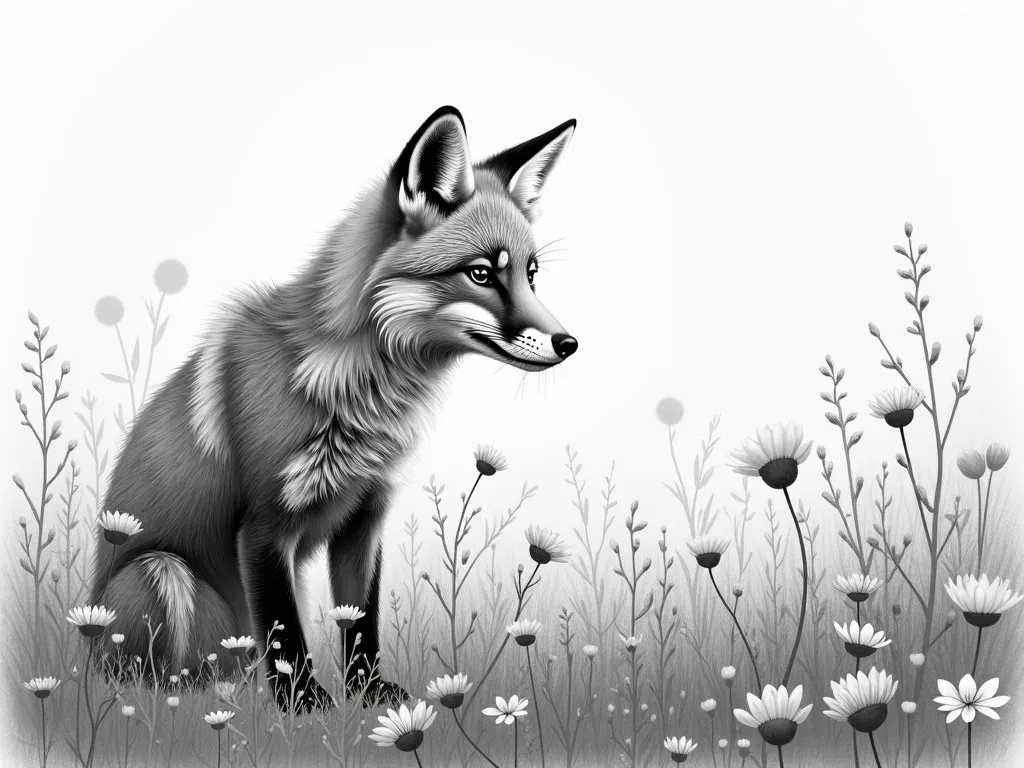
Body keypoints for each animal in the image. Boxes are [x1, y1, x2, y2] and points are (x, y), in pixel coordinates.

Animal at [89, 106, 578, 711]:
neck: (356, 388)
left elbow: (360, 618)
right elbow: (283, 632)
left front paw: (369, 693)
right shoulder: (264, 525)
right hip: (162, 571)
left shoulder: (366, 515)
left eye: (531, 274)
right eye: (482, 273)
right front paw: (301, 703)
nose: (569, 344)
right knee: (156, 677)